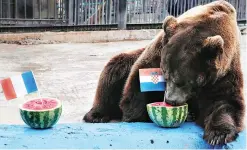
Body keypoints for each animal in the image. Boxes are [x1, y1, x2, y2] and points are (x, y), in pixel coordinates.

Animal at [84, 0, 245, 145]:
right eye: (165, 75)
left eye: (185, 82)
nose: (170, 100)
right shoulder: (157, 52)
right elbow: (137, 84)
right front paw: (134, 117)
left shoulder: (223, 72)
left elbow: (225, 102)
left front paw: (219, 135)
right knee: (114, 69)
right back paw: (97, 115)